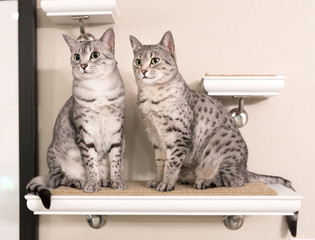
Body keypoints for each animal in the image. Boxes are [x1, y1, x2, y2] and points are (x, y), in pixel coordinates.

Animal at [26, 27, 126, 208]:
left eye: (95, 55)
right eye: (77, 57)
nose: (83, 65)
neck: (99, 89)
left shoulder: (116, 131)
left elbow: (115, 161)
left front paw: (116, 181)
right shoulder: (85, 133)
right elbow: (91, 162)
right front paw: (92, 183)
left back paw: (104, 180)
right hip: (56, 155)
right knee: (57, 181)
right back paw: (79, 181)